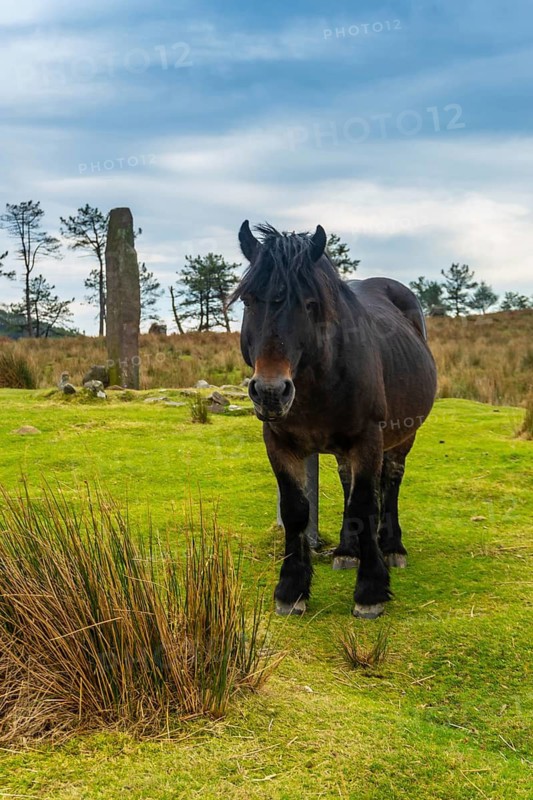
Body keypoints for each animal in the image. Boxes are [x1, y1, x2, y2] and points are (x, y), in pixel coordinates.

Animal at [232, 221, 437, 619]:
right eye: (249, 301)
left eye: (310, 305)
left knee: (390, 483)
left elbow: (364, 505)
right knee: (347, 483)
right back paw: (346, 550)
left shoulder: (368, 440)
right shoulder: (279, 443)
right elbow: (297, 511)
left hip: (402, 438)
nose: (270, 392)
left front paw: (370, 592)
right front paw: (291, 590)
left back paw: (392, 547)